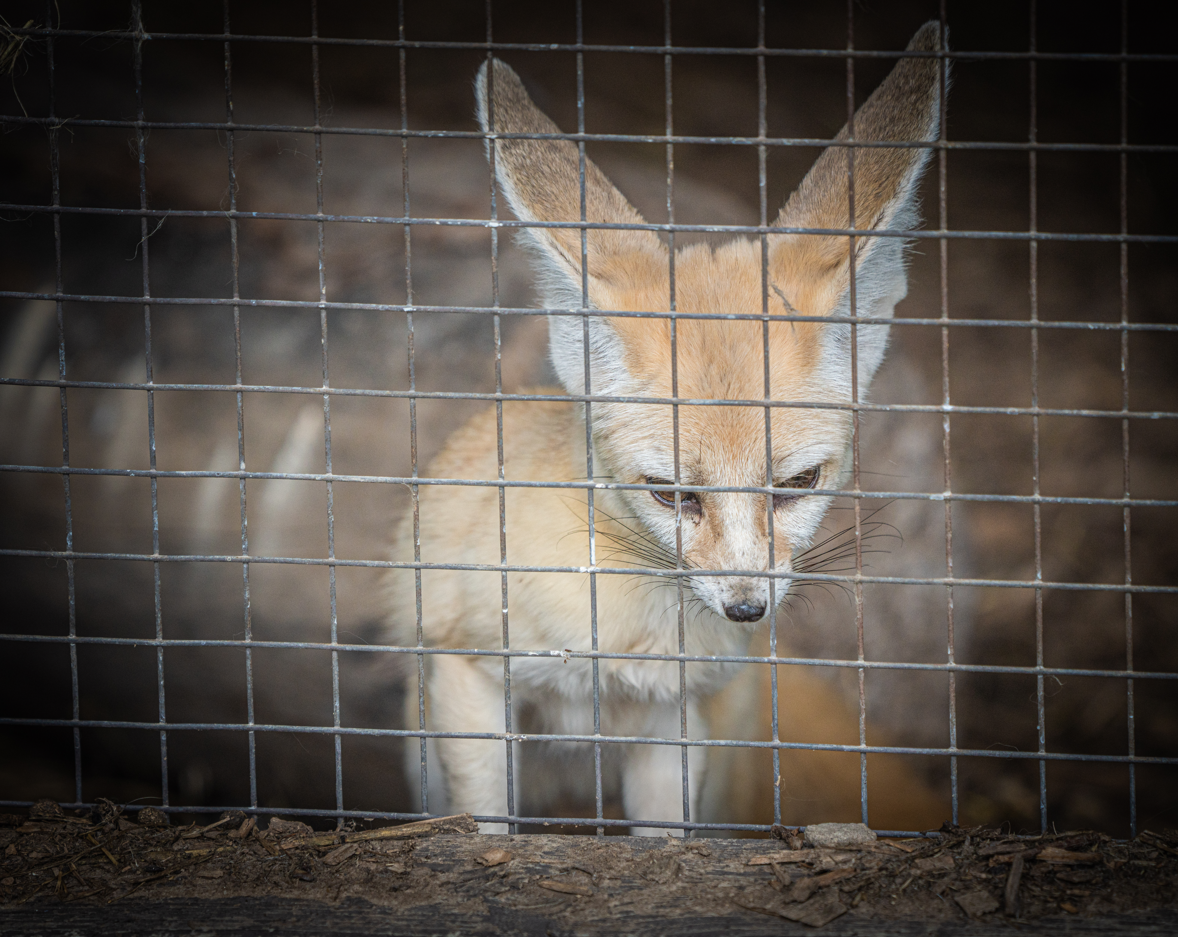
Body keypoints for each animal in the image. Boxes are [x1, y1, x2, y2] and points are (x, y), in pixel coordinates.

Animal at [386, 21, 947, 834]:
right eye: (668, 493)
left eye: (799, 483)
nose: (747, 607)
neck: (624, 628)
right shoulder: (467, 670)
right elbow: (484, 822)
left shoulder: (670, 722)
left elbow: (663, 839)